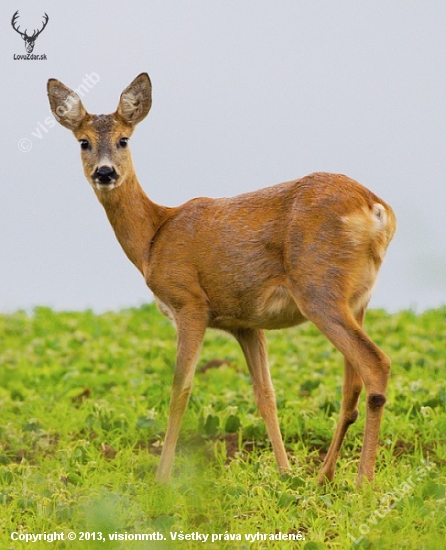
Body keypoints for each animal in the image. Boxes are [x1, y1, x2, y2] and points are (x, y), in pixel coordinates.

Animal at [48, 72, 398, 484]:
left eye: (123, 139)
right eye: (83, 141)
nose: (105, 173)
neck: (154, 237)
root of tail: (377, 210)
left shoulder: (189, 302)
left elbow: (180, 390)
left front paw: (162, 478)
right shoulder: (245, 322)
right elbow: (266, 394)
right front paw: (285, 472)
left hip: (319, 290)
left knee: (375, 364)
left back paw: (363, 482)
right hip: (357, 299)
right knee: (351, 386)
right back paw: (324, 475)